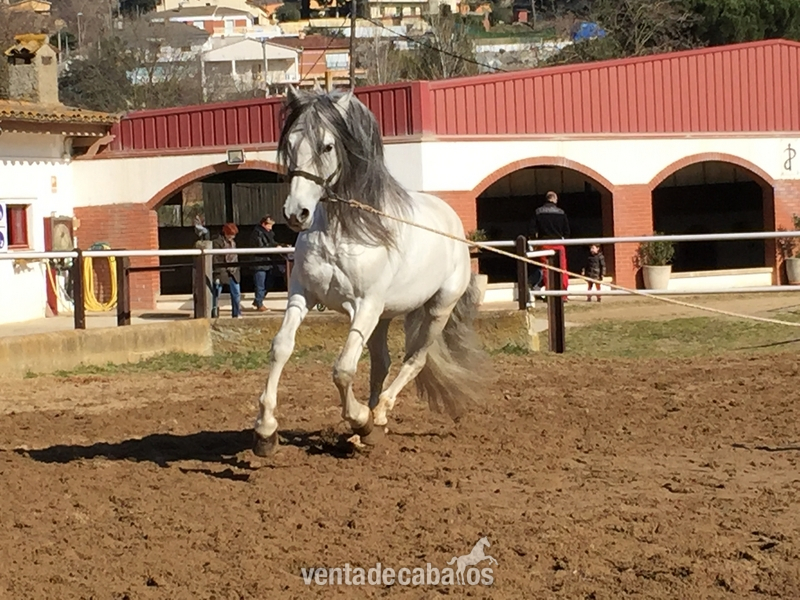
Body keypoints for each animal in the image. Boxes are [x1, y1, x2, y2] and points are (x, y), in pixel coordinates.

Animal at [252, 86, 486, 457]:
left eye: (327, 146)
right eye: (290, 143)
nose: (296, 213)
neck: (343, 231)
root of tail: (451, 219)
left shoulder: (365, 306)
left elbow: (343, 370)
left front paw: (359, 418)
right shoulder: (302, 295)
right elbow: (281, 348)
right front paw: (265, 431)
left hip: (436, 310)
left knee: (414, 361)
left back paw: (377, 417)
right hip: (384, 317)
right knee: (383, 363)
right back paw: (369, 428)